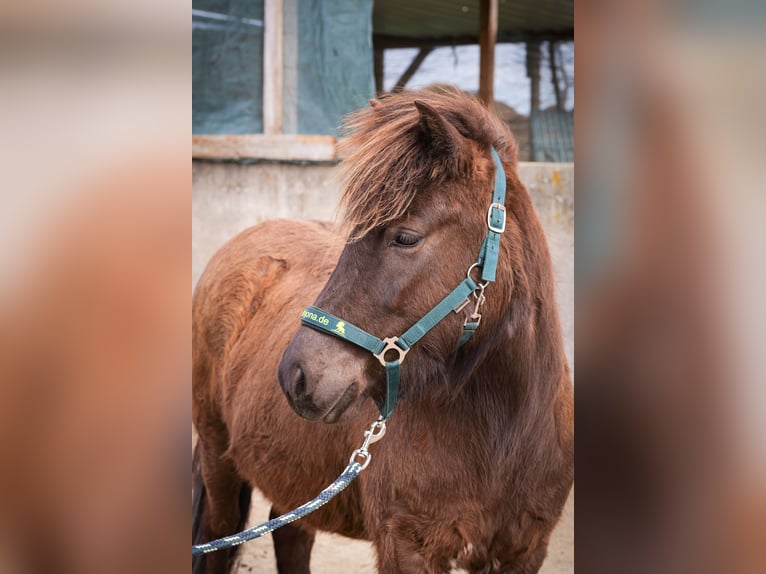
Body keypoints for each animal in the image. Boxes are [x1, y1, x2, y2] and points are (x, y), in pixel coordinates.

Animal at [192, 87, 573, 574]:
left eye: (405, 237)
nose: (295, 375)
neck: (504, 436)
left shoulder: (525, 551)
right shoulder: (407, 546)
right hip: (216, 454)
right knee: (219, 533)